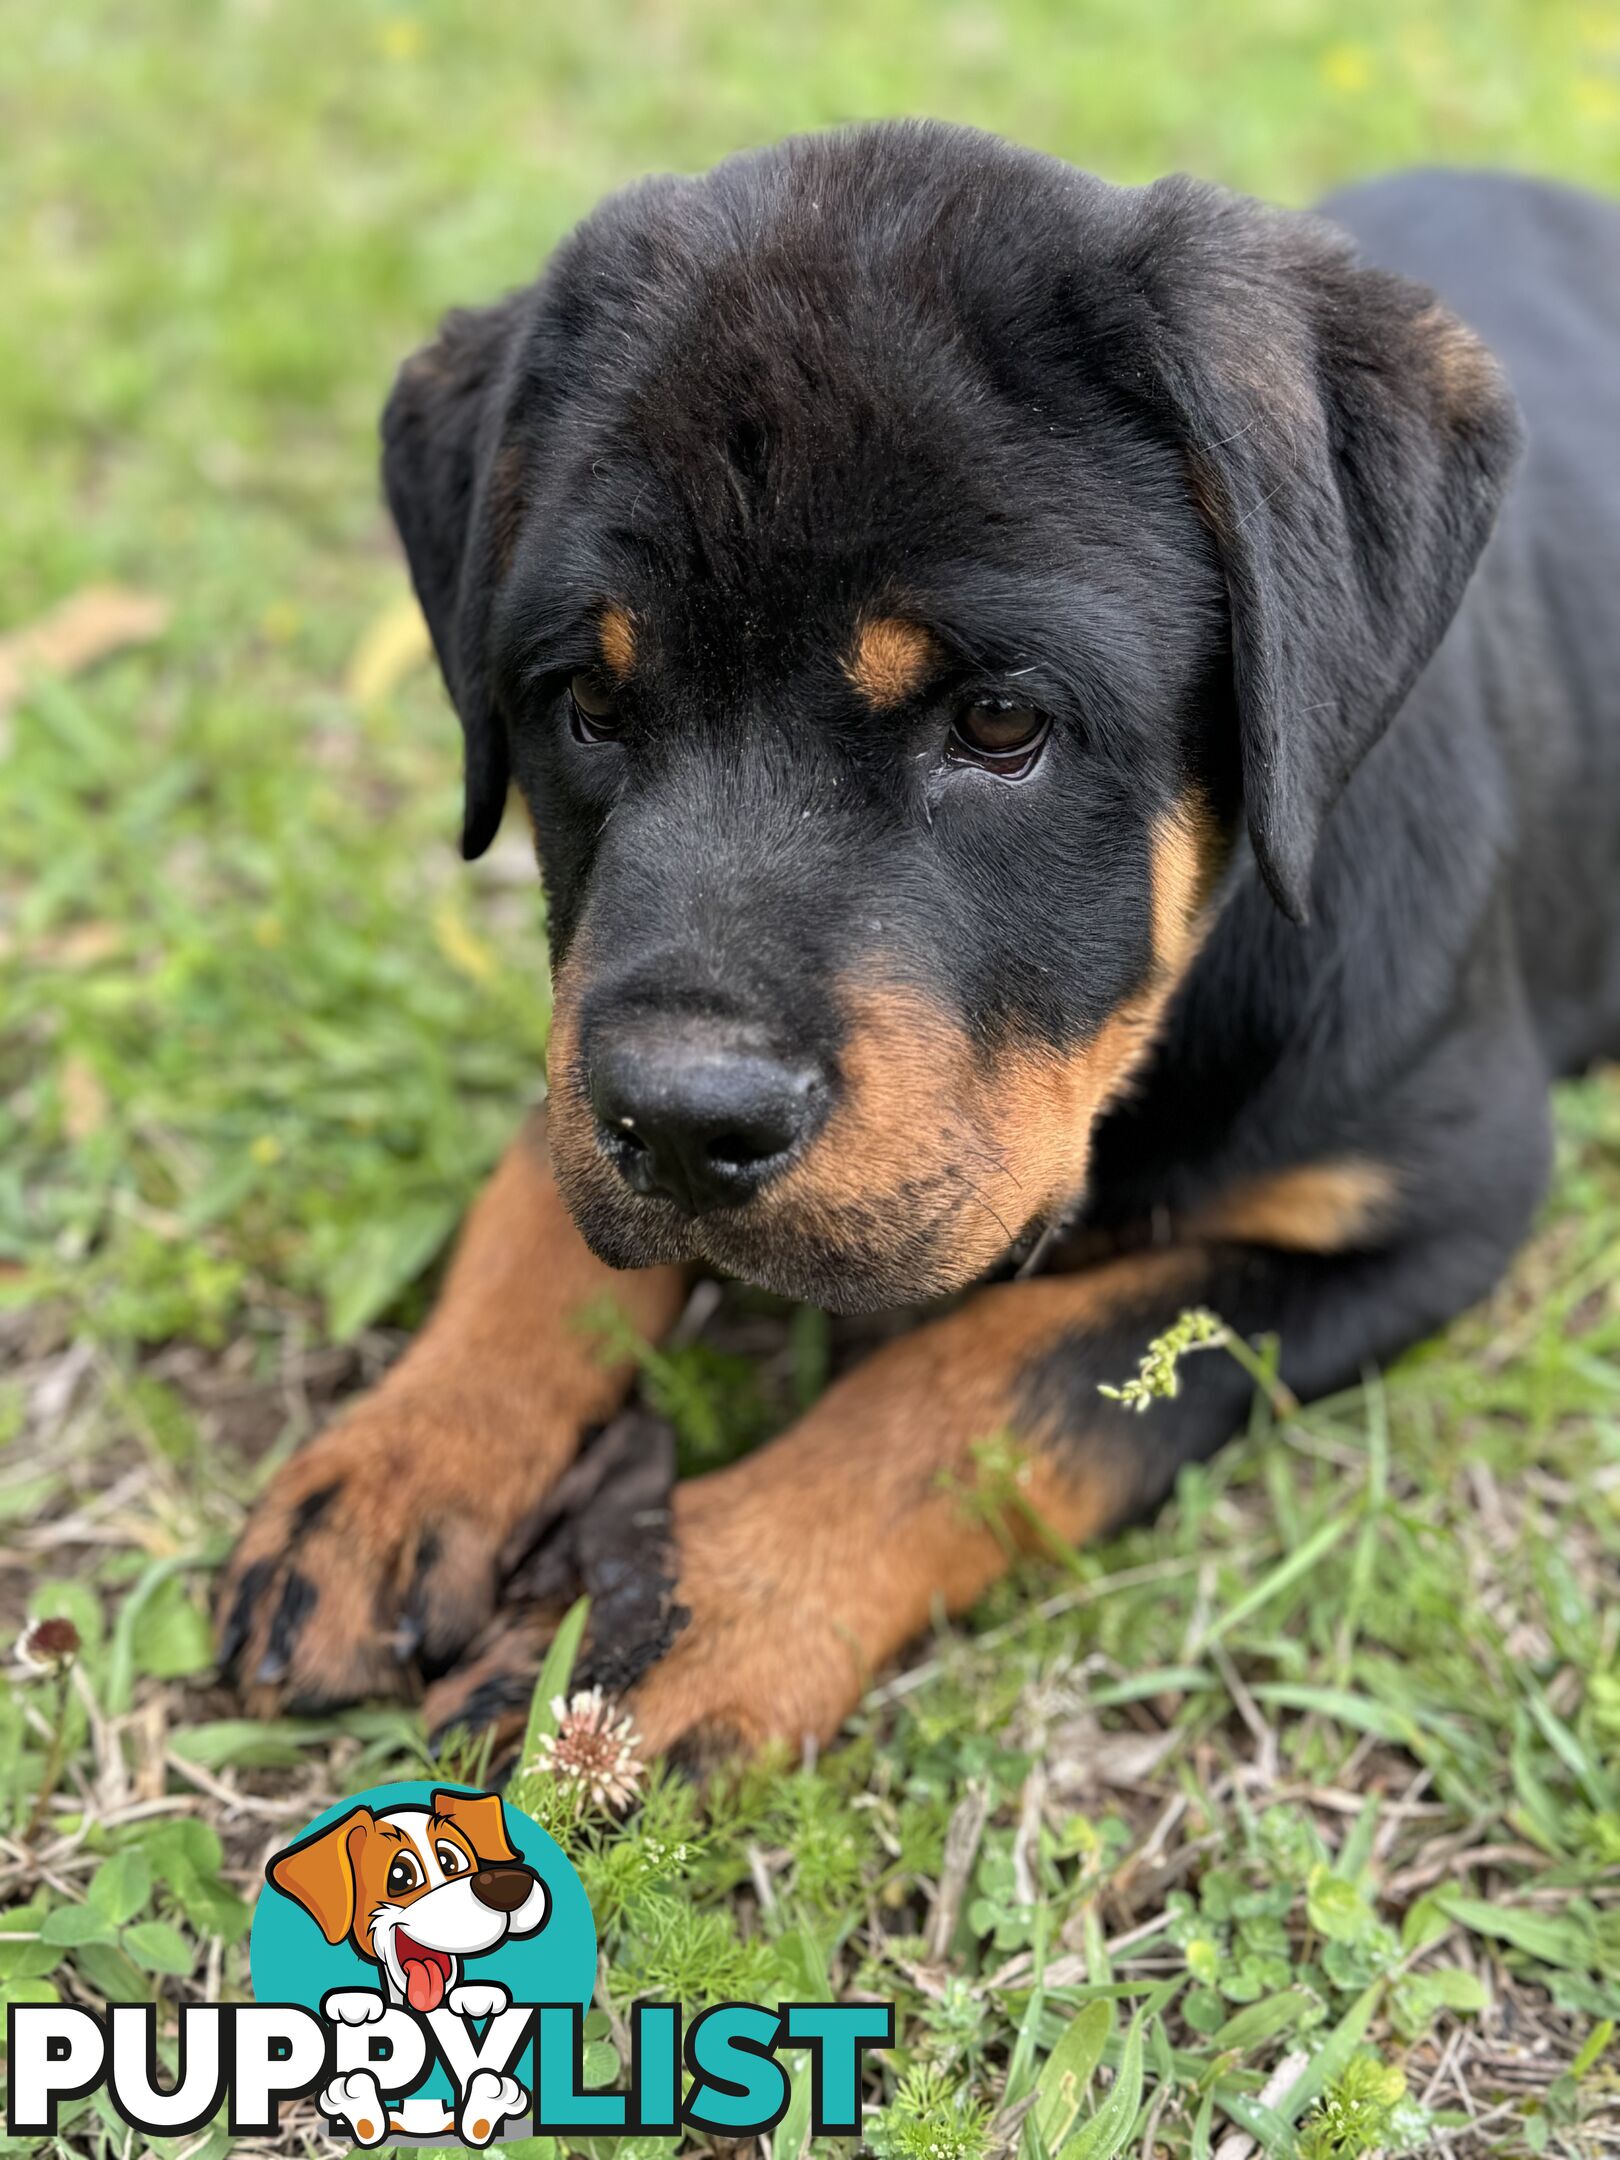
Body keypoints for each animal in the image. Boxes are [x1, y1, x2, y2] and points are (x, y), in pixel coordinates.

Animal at [222, 122, 1620, 1753]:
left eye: (1001, 722)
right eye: (586, 701)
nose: (686, 1126)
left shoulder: (1431, 1197)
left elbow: (1000, 1378)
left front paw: (682, 1611)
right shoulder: (592, 1033)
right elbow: (538, 1185)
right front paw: (402, 1458)